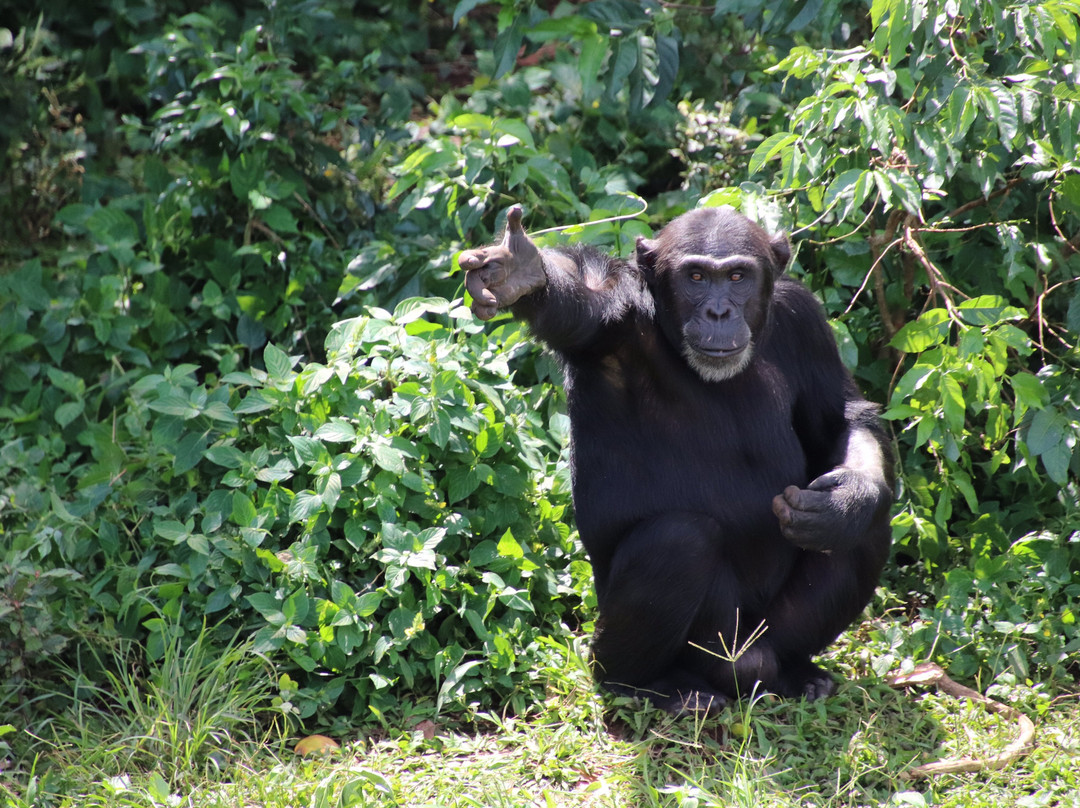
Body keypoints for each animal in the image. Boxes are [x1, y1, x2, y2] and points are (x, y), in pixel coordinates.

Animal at [455, 205, 894, 708]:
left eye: (738, 276)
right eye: (696, 276)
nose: (719, 310)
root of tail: (750, 666)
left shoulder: (805, 320)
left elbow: (841, 418)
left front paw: (847, 500)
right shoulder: (614, 322)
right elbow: (580, 305)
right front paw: (520, 272)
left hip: (770, 634)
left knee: (866, 528)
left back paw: (797, 669)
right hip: (711, 646)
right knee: (679, 541)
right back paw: (655, 686)